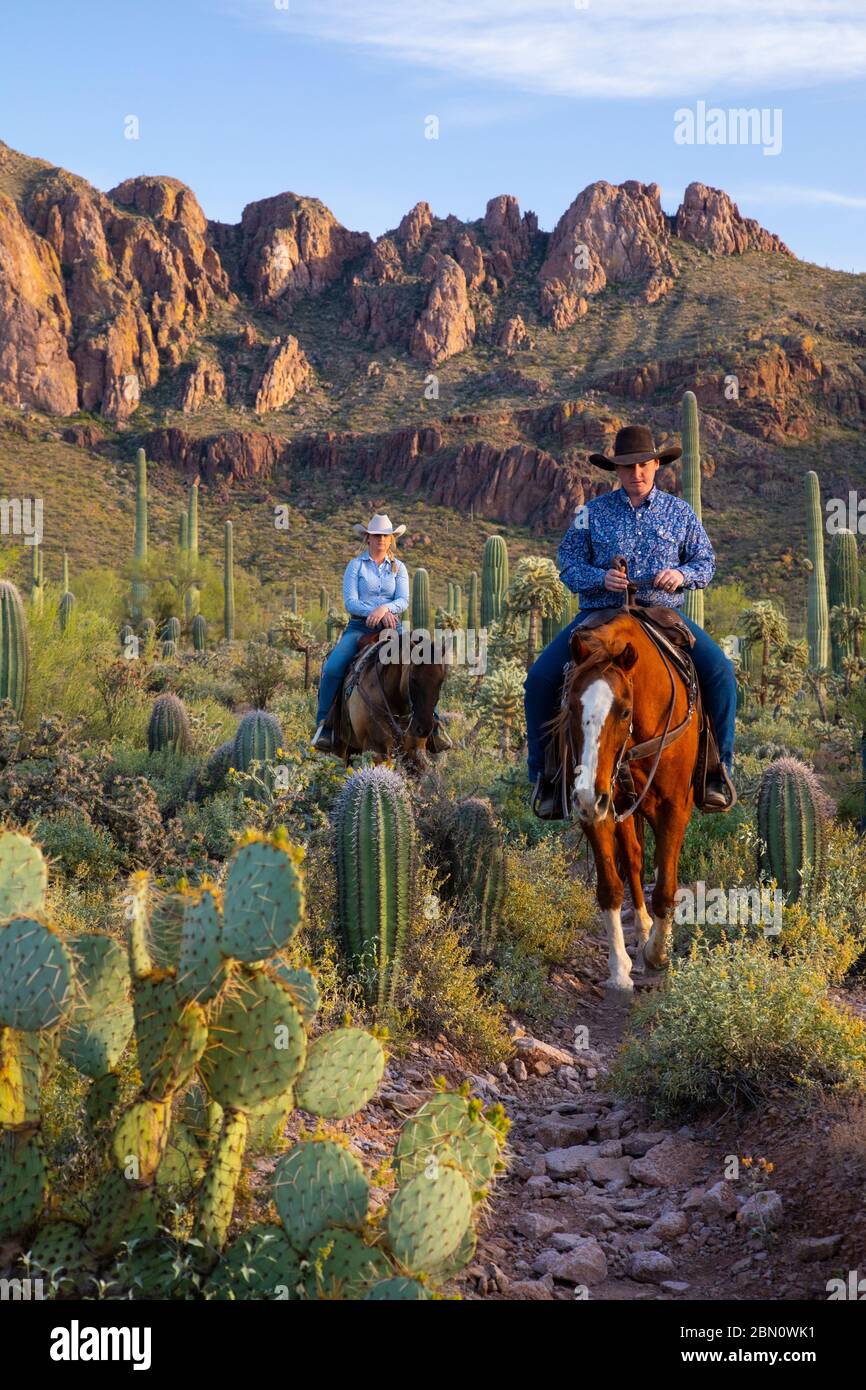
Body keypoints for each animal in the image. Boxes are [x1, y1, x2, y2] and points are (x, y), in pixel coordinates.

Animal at [553, 608, 700, 989]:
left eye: (622, 710)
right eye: (570, 706)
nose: (588, 794)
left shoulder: (674, 808)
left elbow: (665, 888)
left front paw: (657, 955)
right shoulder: (597, 810)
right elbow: (610, 886)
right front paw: (619, 969)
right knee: (633, 858)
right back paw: (642, 928)